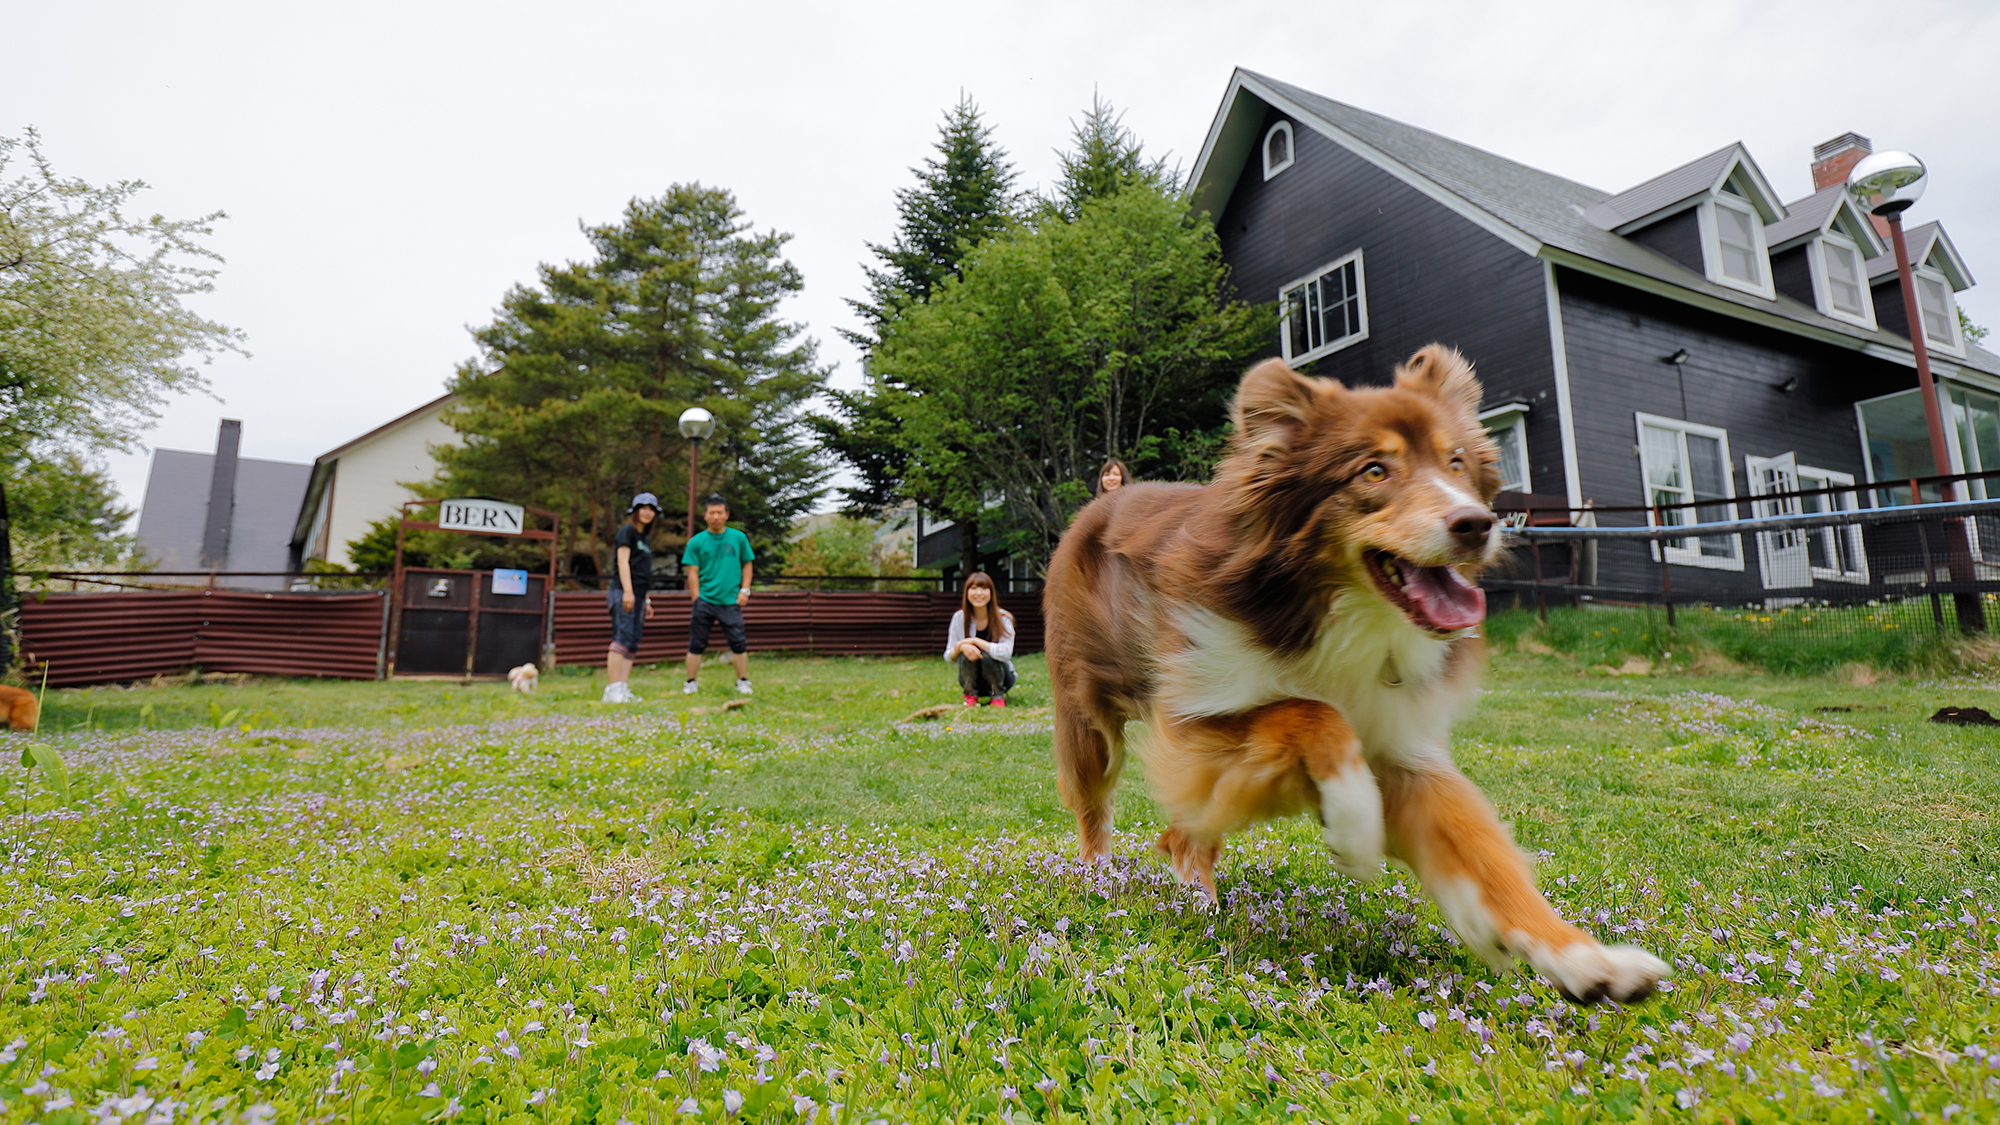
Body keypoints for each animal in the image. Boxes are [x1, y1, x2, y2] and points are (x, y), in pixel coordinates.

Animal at [1048, 342, 1672, 996]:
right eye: (1374, 471)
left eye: (1455, 462)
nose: (1477, 524)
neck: (1339, 613)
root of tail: (1105, 500)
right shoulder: (1194, 720)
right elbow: (1312, 711)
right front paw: (1352, 823)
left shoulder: (1406, 752)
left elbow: (1489, 862)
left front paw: (1590, 962)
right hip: (1091, 718)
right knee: (1098, 809)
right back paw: (1102, 881)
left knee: (1182, 837)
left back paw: (1200, 902)